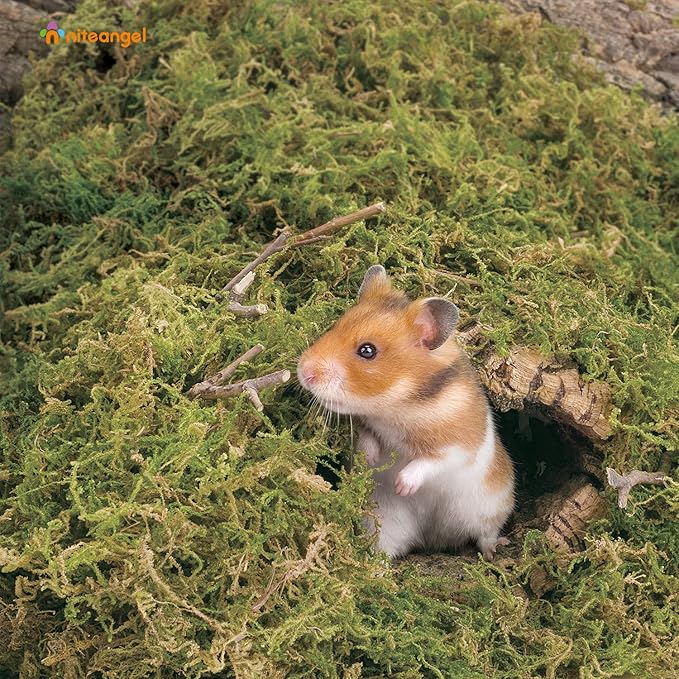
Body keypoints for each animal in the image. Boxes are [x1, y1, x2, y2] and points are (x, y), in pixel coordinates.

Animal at [297, 265, 515, 560]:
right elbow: (366, 438)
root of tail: (434, 539)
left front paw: (402, 486)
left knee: (484, 534)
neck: (399, 406)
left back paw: (495, 551)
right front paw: (370, 460)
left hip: (489, 506)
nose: (302, 372)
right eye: (335, 326)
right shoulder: (369, 424)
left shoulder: (459, 446)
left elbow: (431, 461)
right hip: (386, 523)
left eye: (367, 350)